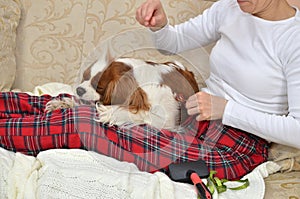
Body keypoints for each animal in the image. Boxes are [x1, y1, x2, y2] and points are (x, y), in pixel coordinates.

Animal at [46, 56, 199, 131]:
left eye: (99, 87)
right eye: (85, 78)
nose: (79, 89)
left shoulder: (167, 119)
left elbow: (141, 113)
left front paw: (110, 113)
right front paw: (62, 103)